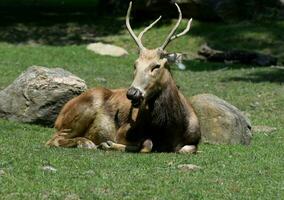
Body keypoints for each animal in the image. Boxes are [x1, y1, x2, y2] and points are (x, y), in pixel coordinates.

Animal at [45, 1, 200, 153]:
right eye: (135, 64)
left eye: (156, 66)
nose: (132, 93)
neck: (168, 130)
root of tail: (59, 117)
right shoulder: (123, 131)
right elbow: (147, 144)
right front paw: (107, 144)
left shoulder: (195, 140)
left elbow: (187, 149)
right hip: (82, 111)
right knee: (52, 140)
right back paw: (86, 143)